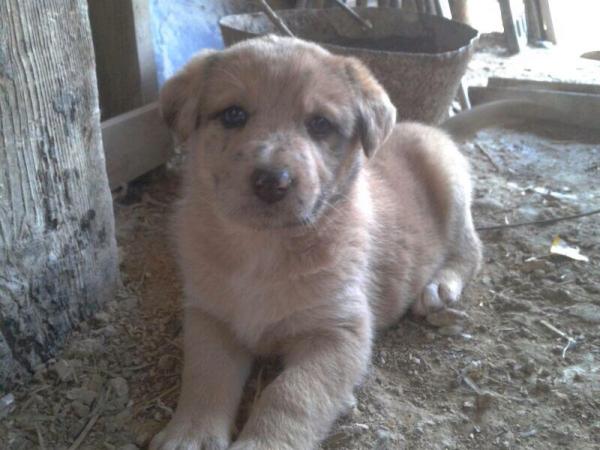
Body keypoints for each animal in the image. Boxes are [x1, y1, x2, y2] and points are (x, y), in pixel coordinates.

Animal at [151, 35, 482, 450]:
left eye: (320, 124)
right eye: (233, 115)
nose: (271, 181)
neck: (262, 249)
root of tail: (428, 127)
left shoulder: (338, 332)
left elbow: (290, 394)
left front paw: (264, 443)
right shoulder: (208, 316)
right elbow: (205, 377)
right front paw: (191, 433)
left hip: (450, 185)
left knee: (472, 249)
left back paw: (440, 285)